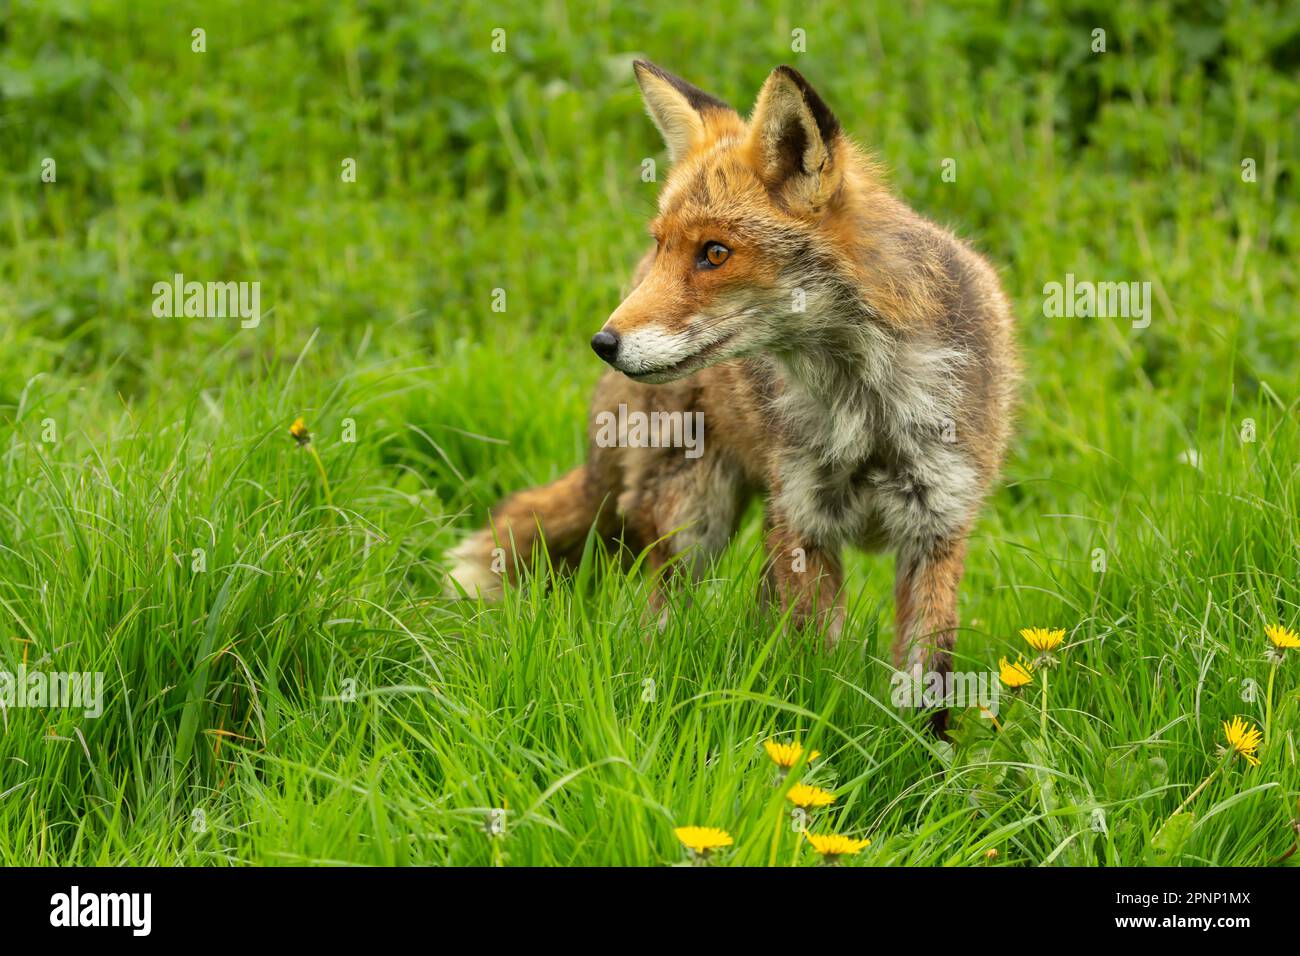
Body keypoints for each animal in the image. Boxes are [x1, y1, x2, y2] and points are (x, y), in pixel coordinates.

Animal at [448, 61, 1018, 733]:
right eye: (667, 245)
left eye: (715, 253)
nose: (603, 342)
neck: (866, 410)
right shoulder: (805, 523)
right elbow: (814, 669)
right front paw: (813, 737)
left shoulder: (937, 529)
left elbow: (928, 686)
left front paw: (920, 760)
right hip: (695, 517)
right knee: (658, 617)